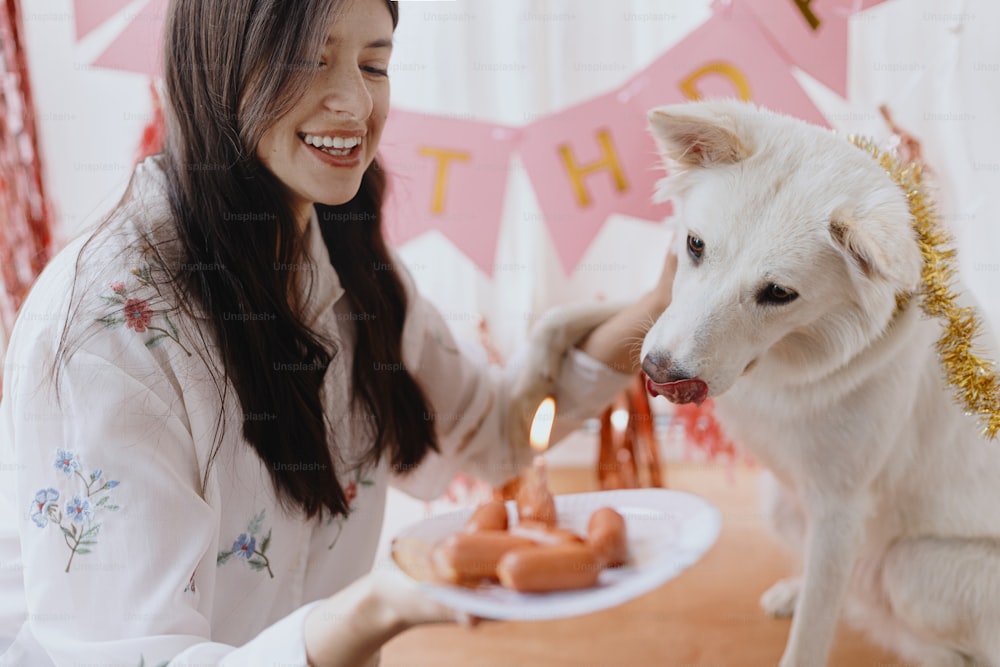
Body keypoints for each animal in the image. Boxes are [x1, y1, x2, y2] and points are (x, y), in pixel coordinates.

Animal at [632, 100, 1000, 667]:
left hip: (910, 569)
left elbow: (812, 630)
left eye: (778, 293)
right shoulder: (811, 508)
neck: (794, 366)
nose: (660, 372)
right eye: (695, 245)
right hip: (781, 504)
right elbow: (817, 587)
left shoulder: (839, 511)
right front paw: (798, 592)